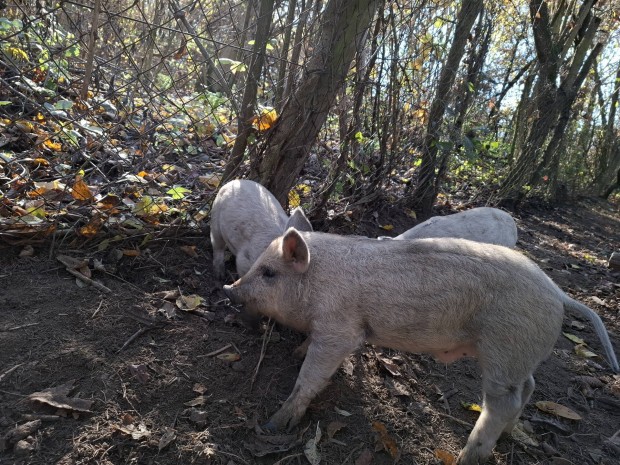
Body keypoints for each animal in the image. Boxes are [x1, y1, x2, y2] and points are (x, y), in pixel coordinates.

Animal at [224, 230, 620, 464]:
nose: (229, 289)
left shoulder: (341, 329)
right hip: (518, 357)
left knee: (502, 403)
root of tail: (558, 293)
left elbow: (311, 375)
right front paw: (296, 352)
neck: (317, 282)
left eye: (269, 273)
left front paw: (275, 424)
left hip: (504, 347)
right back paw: (508, 434)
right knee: (529, 388)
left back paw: (465, 458)